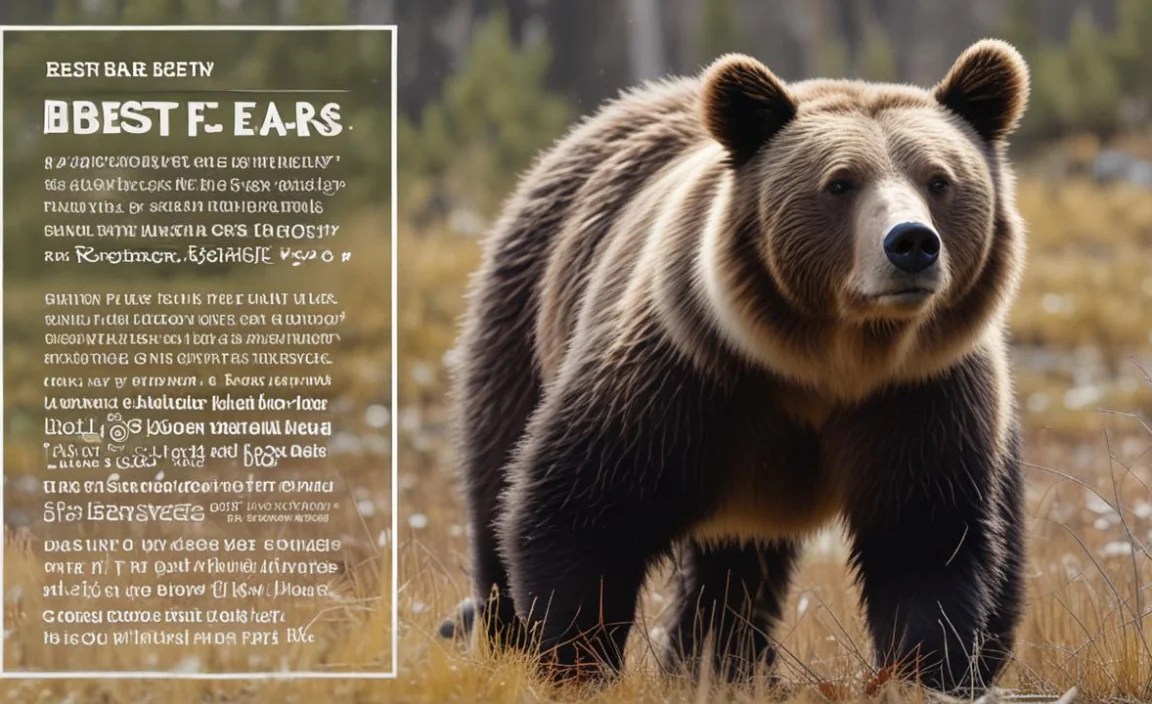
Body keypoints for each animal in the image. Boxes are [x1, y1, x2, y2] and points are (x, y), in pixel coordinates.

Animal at [442, 39, 1029, 695]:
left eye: (939, 179)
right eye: (840, 182)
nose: (911, 244)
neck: (829, 360)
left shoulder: (921, 395)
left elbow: (928, 539)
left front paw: (925, 671)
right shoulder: (683, 371)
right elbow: (582, 508)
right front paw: (576, 660)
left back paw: (721, 664)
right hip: (524, 316)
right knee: (496, 475)